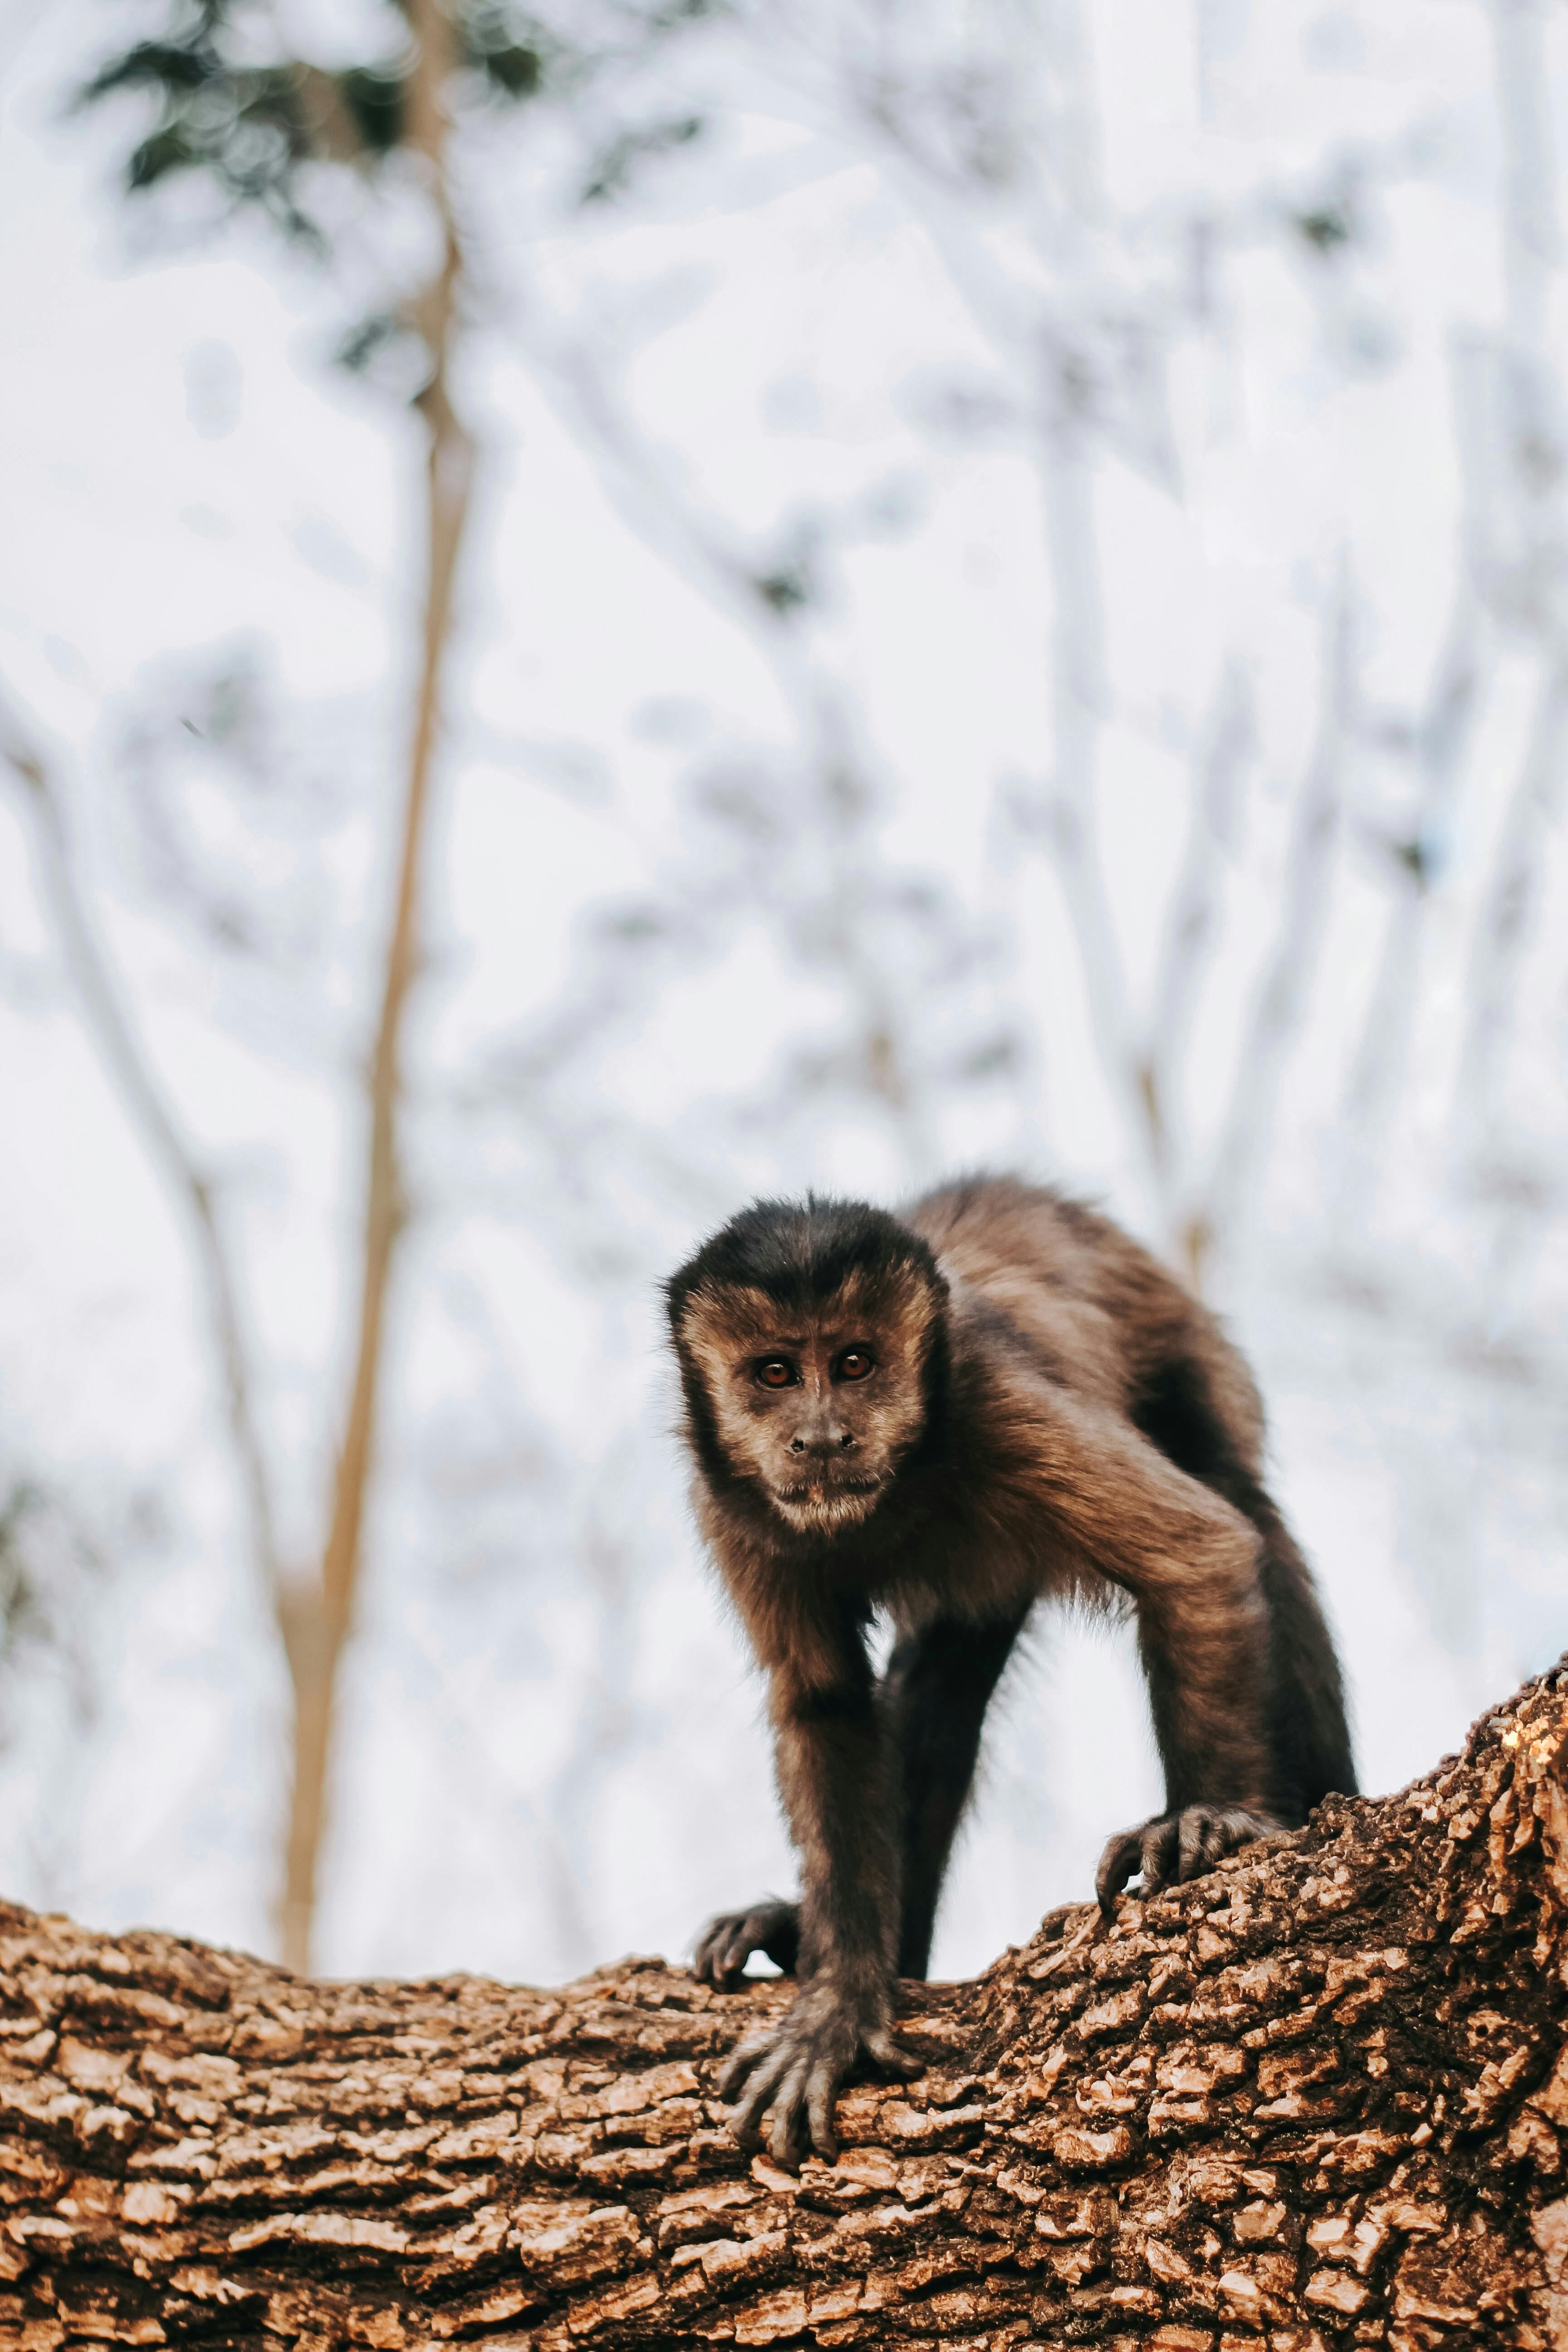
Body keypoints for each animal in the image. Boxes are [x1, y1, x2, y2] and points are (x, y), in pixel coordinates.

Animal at [666, 1175, 1355, 2167]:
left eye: (854, 1362)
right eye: (775, 1374)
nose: (823, 1437)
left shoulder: (998, 1401)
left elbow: (1200, 1551)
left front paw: (1209, 1820)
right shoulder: (729, 1498)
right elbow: (826, 1708)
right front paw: (838, 2000)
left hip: (1189, 1351)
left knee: (1244, 1506)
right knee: (939, 1681)